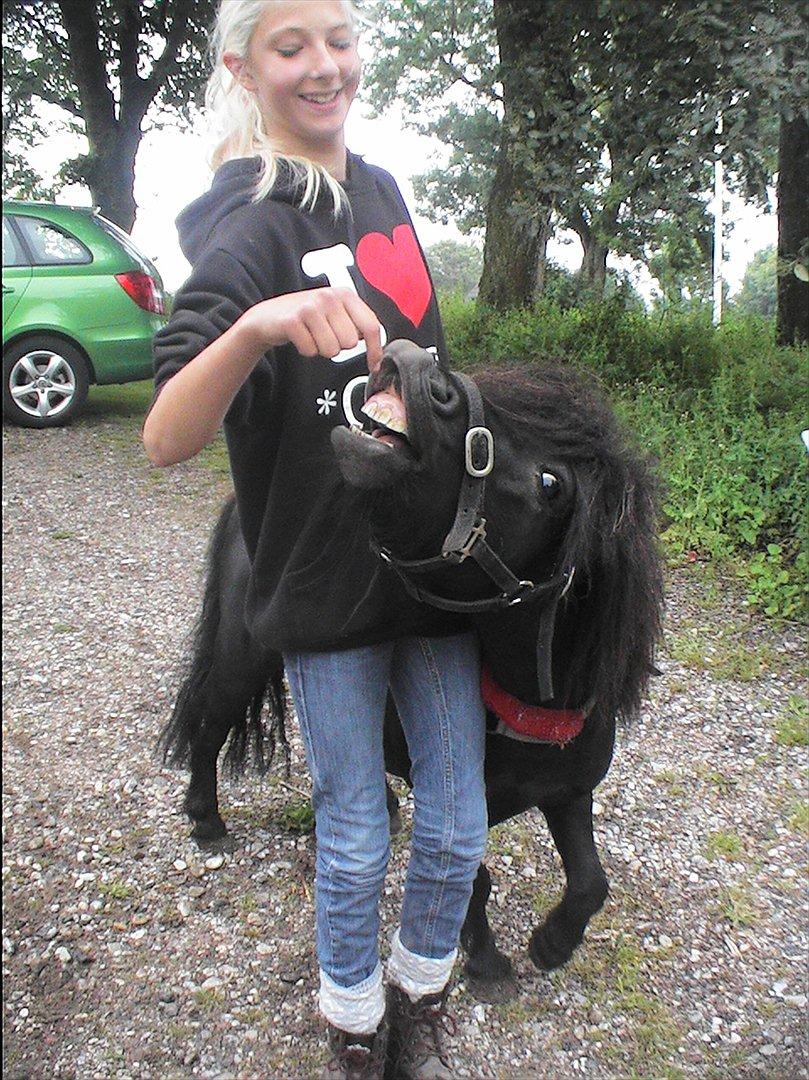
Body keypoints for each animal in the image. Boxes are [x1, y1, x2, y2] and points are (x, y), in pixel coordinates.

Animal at [158, 340, 662, 990]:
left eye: (553, 483)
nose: (413, 367)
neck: (525, 714)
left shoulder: (570, 794)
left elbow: (591, 882)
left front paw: (552, 945)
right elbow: (476, 879)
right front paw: (487, 961)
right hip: (239, 662)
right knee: (208, 726)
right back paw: (206, 821)